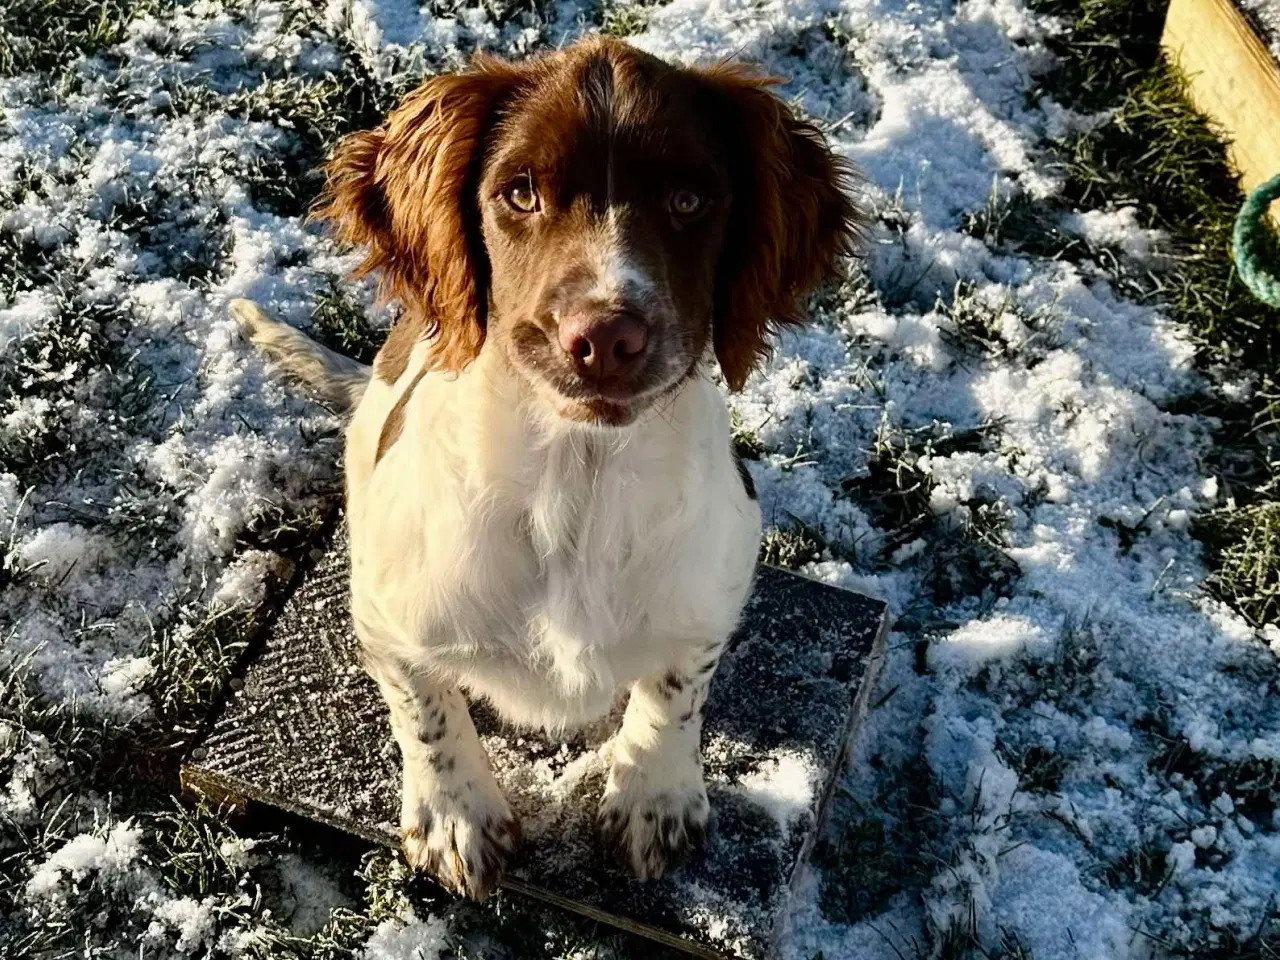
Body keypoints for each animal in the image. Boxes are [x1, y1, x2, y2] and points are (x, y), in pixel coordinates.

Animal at [235, 35, 865, 901]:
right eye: (520, 192)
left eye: (689, 201)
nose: (604, 337)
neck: (577, 482)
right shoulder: (385, 618)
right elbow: (424, 709)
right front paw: (456, 816)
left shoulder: (712, 592)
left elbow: (676, 689)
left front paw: (654, 799)